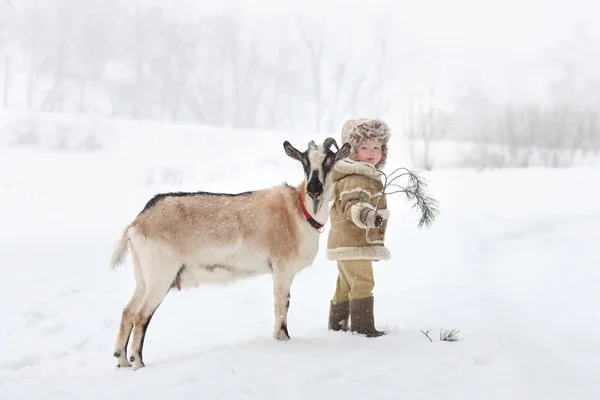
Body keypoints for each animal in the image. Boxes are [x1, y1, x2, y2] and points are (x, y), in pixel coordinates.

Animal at [110, 137, 350, 368]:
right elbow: (282, 303)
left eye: (329, 161)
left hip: (143, 276)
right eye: (305, 163)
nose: (314, 188)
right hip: (161, 275)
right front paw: (283, 339)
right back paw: (138, 362)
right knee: (141, 316)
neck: (299, 211)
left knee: (127, 312)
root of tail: (137, 223)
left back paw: (122, 360)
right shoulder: (282, 267)